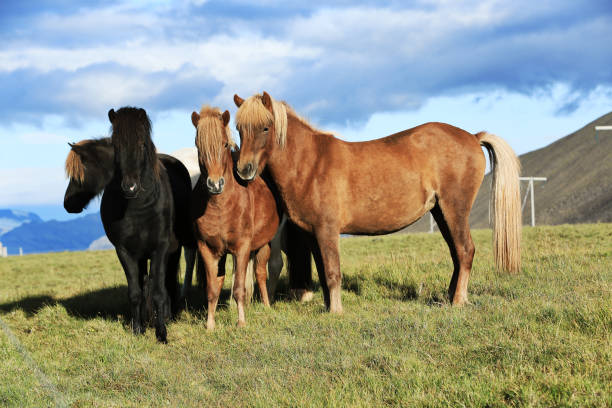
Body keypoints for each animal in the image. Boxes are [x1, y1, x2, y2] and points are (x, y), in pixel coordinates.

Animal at [65, 107, 195, 342]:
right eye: (116, 147)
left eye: (143, 144)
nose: (131, 187)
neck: (138, 206)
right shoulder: (125, 251)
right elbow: (135, 292)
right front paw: (137, 329)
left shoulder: (161, 248)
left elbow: (159, 291)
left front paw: (161, 333)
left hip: (173, 248)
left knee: (166, 282)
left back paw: (167, 316)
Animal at [190, 105, 280, 328]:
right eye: (198, 146)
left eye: (224, 144)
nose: (215, 184)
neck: (220, 206)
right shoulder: (207, 249)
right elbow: (212, 288)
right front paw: (210, 325)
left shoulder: (242, 248)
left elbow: (240, 287)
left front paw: (241, 322)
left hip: (263, 245)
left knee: (260, 274)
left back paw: (266, 306)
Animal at [234, 91, 520, 312]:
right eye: (239, 129)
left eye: (265, 127)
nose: (244, 170)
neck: (311, 163)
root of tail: (472, 136)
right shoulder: (313, 234)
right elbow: (324, 275)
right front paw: (327, 307)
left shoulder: (327, 230)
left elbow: (332, 272)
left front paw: (336, 311)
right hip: (440, 211)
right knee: (456, 253)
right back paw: (450, 297)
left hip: (455, 209)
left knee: (465, 250)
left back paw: (458, 301)